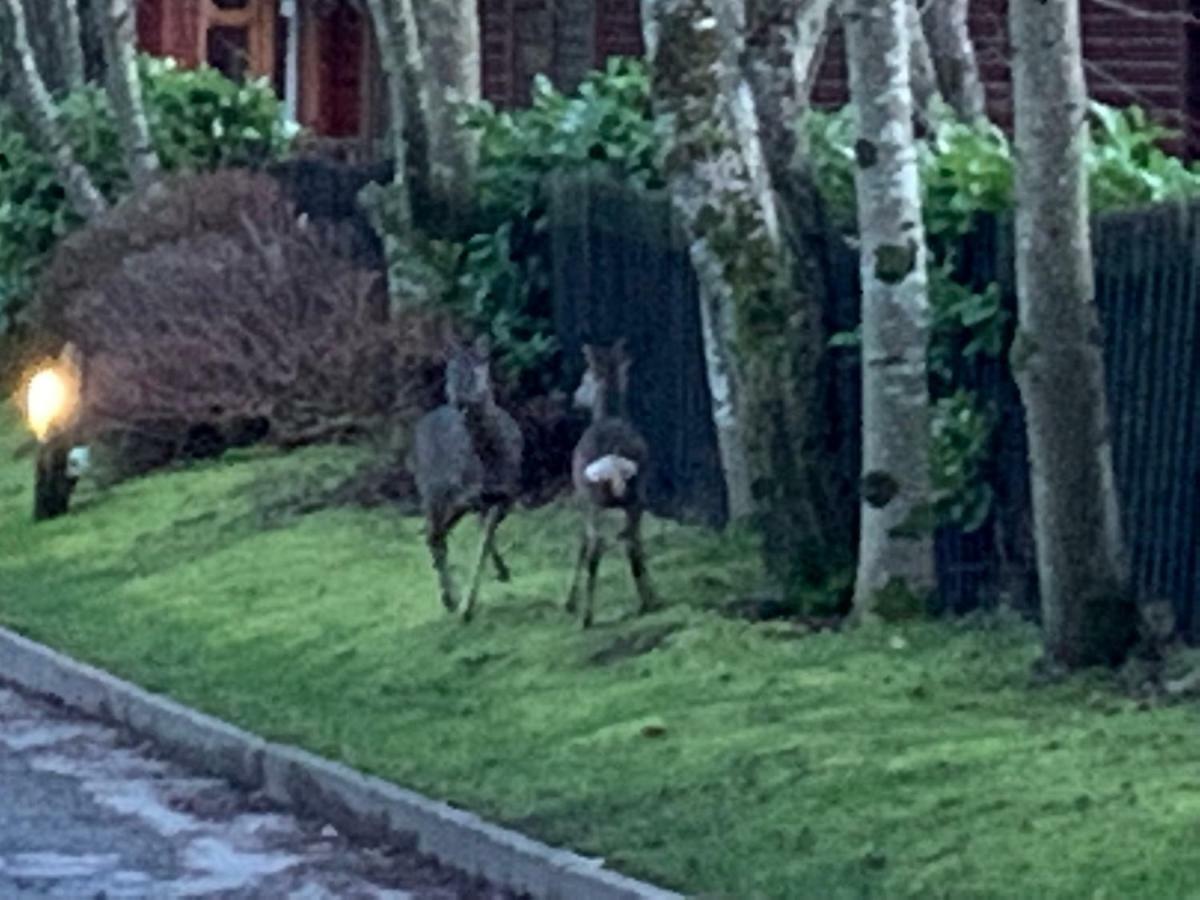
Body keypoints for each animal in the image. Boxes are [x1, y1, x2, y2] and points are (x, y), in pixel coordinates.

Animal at [410, 336, 523, 624]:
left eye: (475, 370)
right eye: (448, 373)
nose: (457, 399)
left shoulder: (507, 494)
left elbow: (486, 538)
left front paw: (502, 572)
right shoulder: (473, 496)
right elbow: (482, 541)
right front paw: (467, 607)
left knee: (438, 533)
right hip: (430, 488)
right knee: (434, 533)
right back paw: (450, 598)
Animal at [561, 340, 657, 628]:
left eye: (584, 378)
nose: (574, 397)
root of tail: (613, 460)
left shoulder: (580, 497)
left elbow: (581, 542)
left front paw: (569, 603)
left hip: (593, 495)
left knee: (597, 545)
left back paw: (587, 616)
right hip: (637, 492)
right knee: (632, 540)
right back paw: (648, 602)